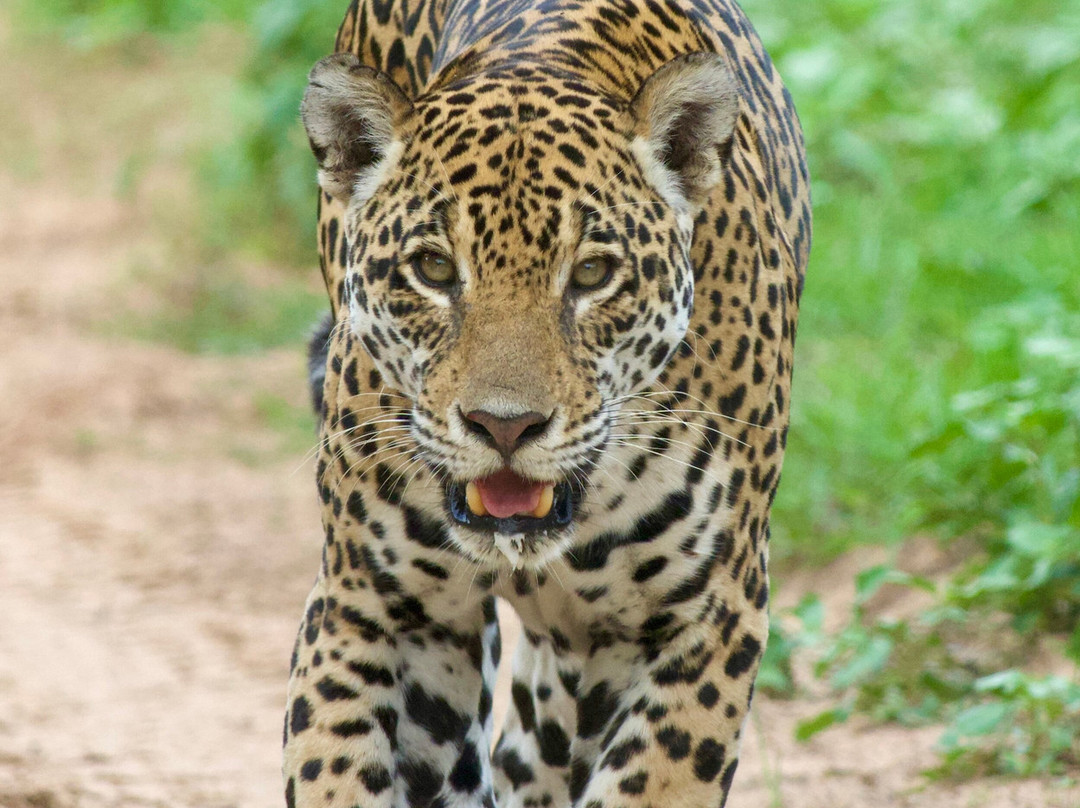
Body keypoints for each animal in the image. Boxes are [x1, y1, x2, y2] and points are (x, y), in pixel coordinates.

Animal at [283, 0, 811, 805]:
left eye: (592, 273)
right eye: (433, 267)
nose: (505, 426)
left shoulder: (708, 616)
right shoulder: (370, 605)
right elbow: (336, 772)